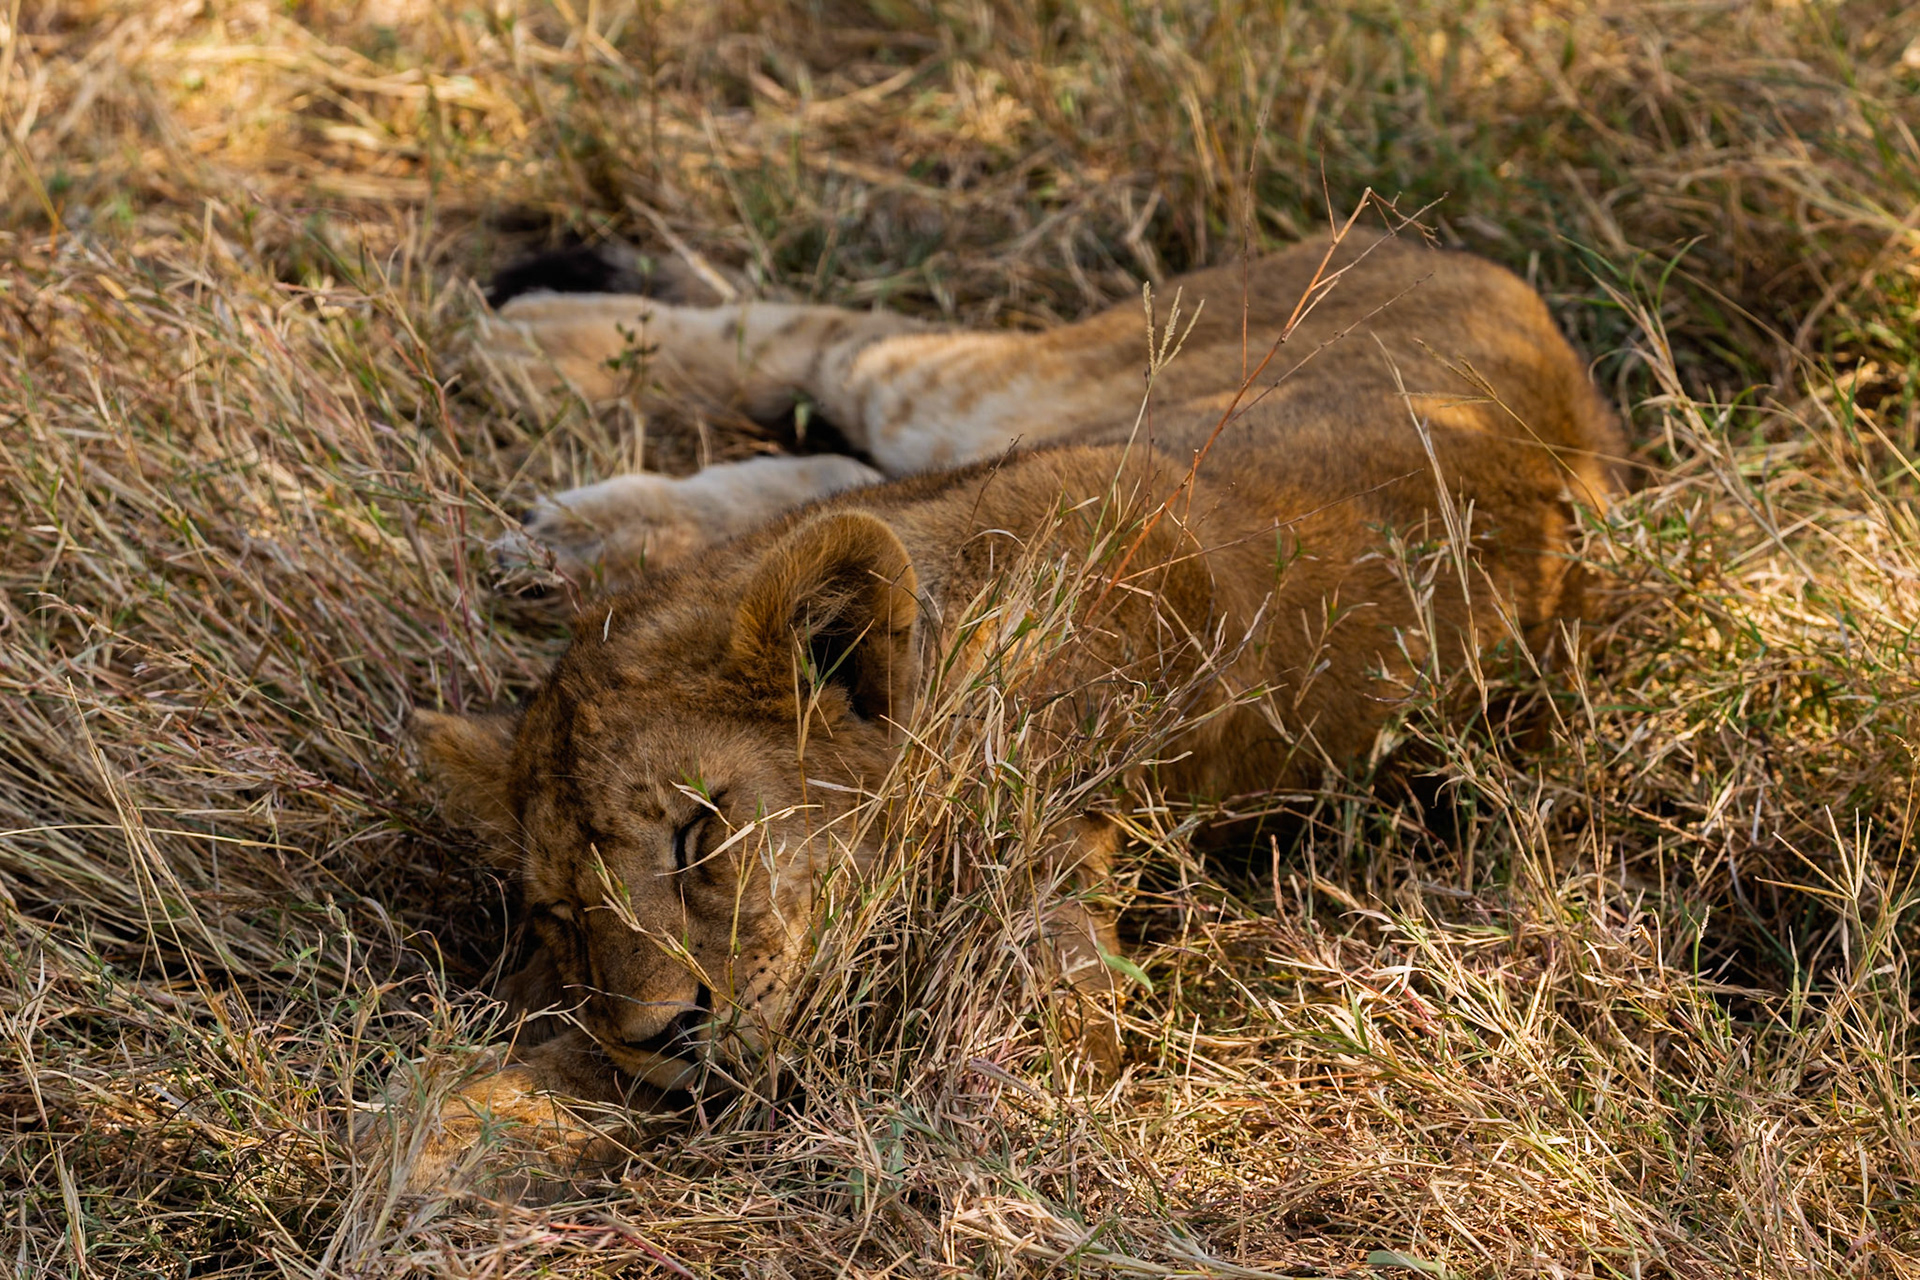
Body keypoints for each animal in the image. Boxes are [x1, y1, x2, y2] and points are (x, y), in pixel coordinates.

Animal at [399, 223, 1624, 1190]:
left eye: (702, 833)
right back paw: (556, 502)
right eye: (562, 911)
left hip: (993, 394)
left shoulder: (1021, 987)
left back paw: (514, 355)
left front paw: (444, 1137)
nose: (665, 1036)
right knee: (818, 431)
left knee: (833, 353)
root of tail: (1472, 266)